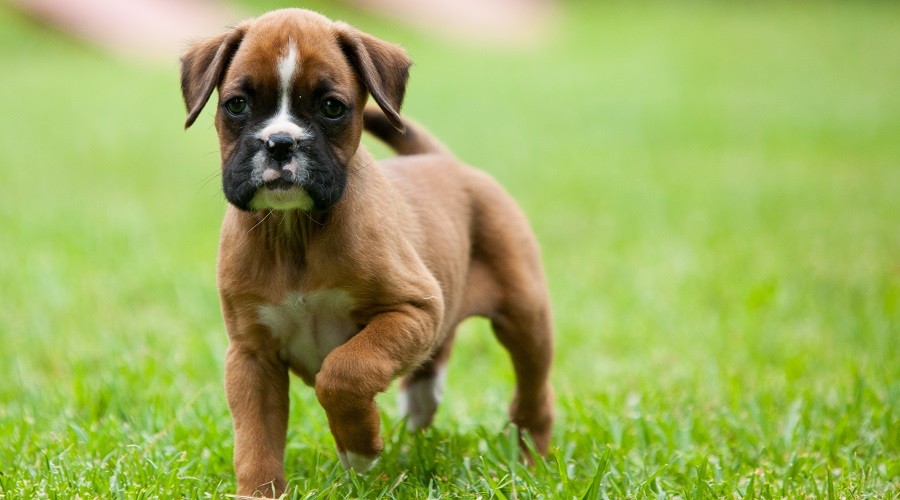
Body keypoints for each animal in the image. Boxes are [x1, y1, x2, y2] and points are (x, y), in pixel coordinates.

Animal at [179, 7, 552, 496]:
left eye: (331, 107)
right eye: (237, 105)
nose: (280, 142)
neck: (295, 232)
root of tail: (445, 161)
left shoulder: (412, 310)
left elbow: (344, 371)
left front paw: (358, 447)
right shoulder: (251, 356)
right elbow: (256, 440)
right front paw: (260, 491)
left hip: (525, 317)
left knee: (534, 392)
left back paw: (532, 458)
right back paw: (422, 398)